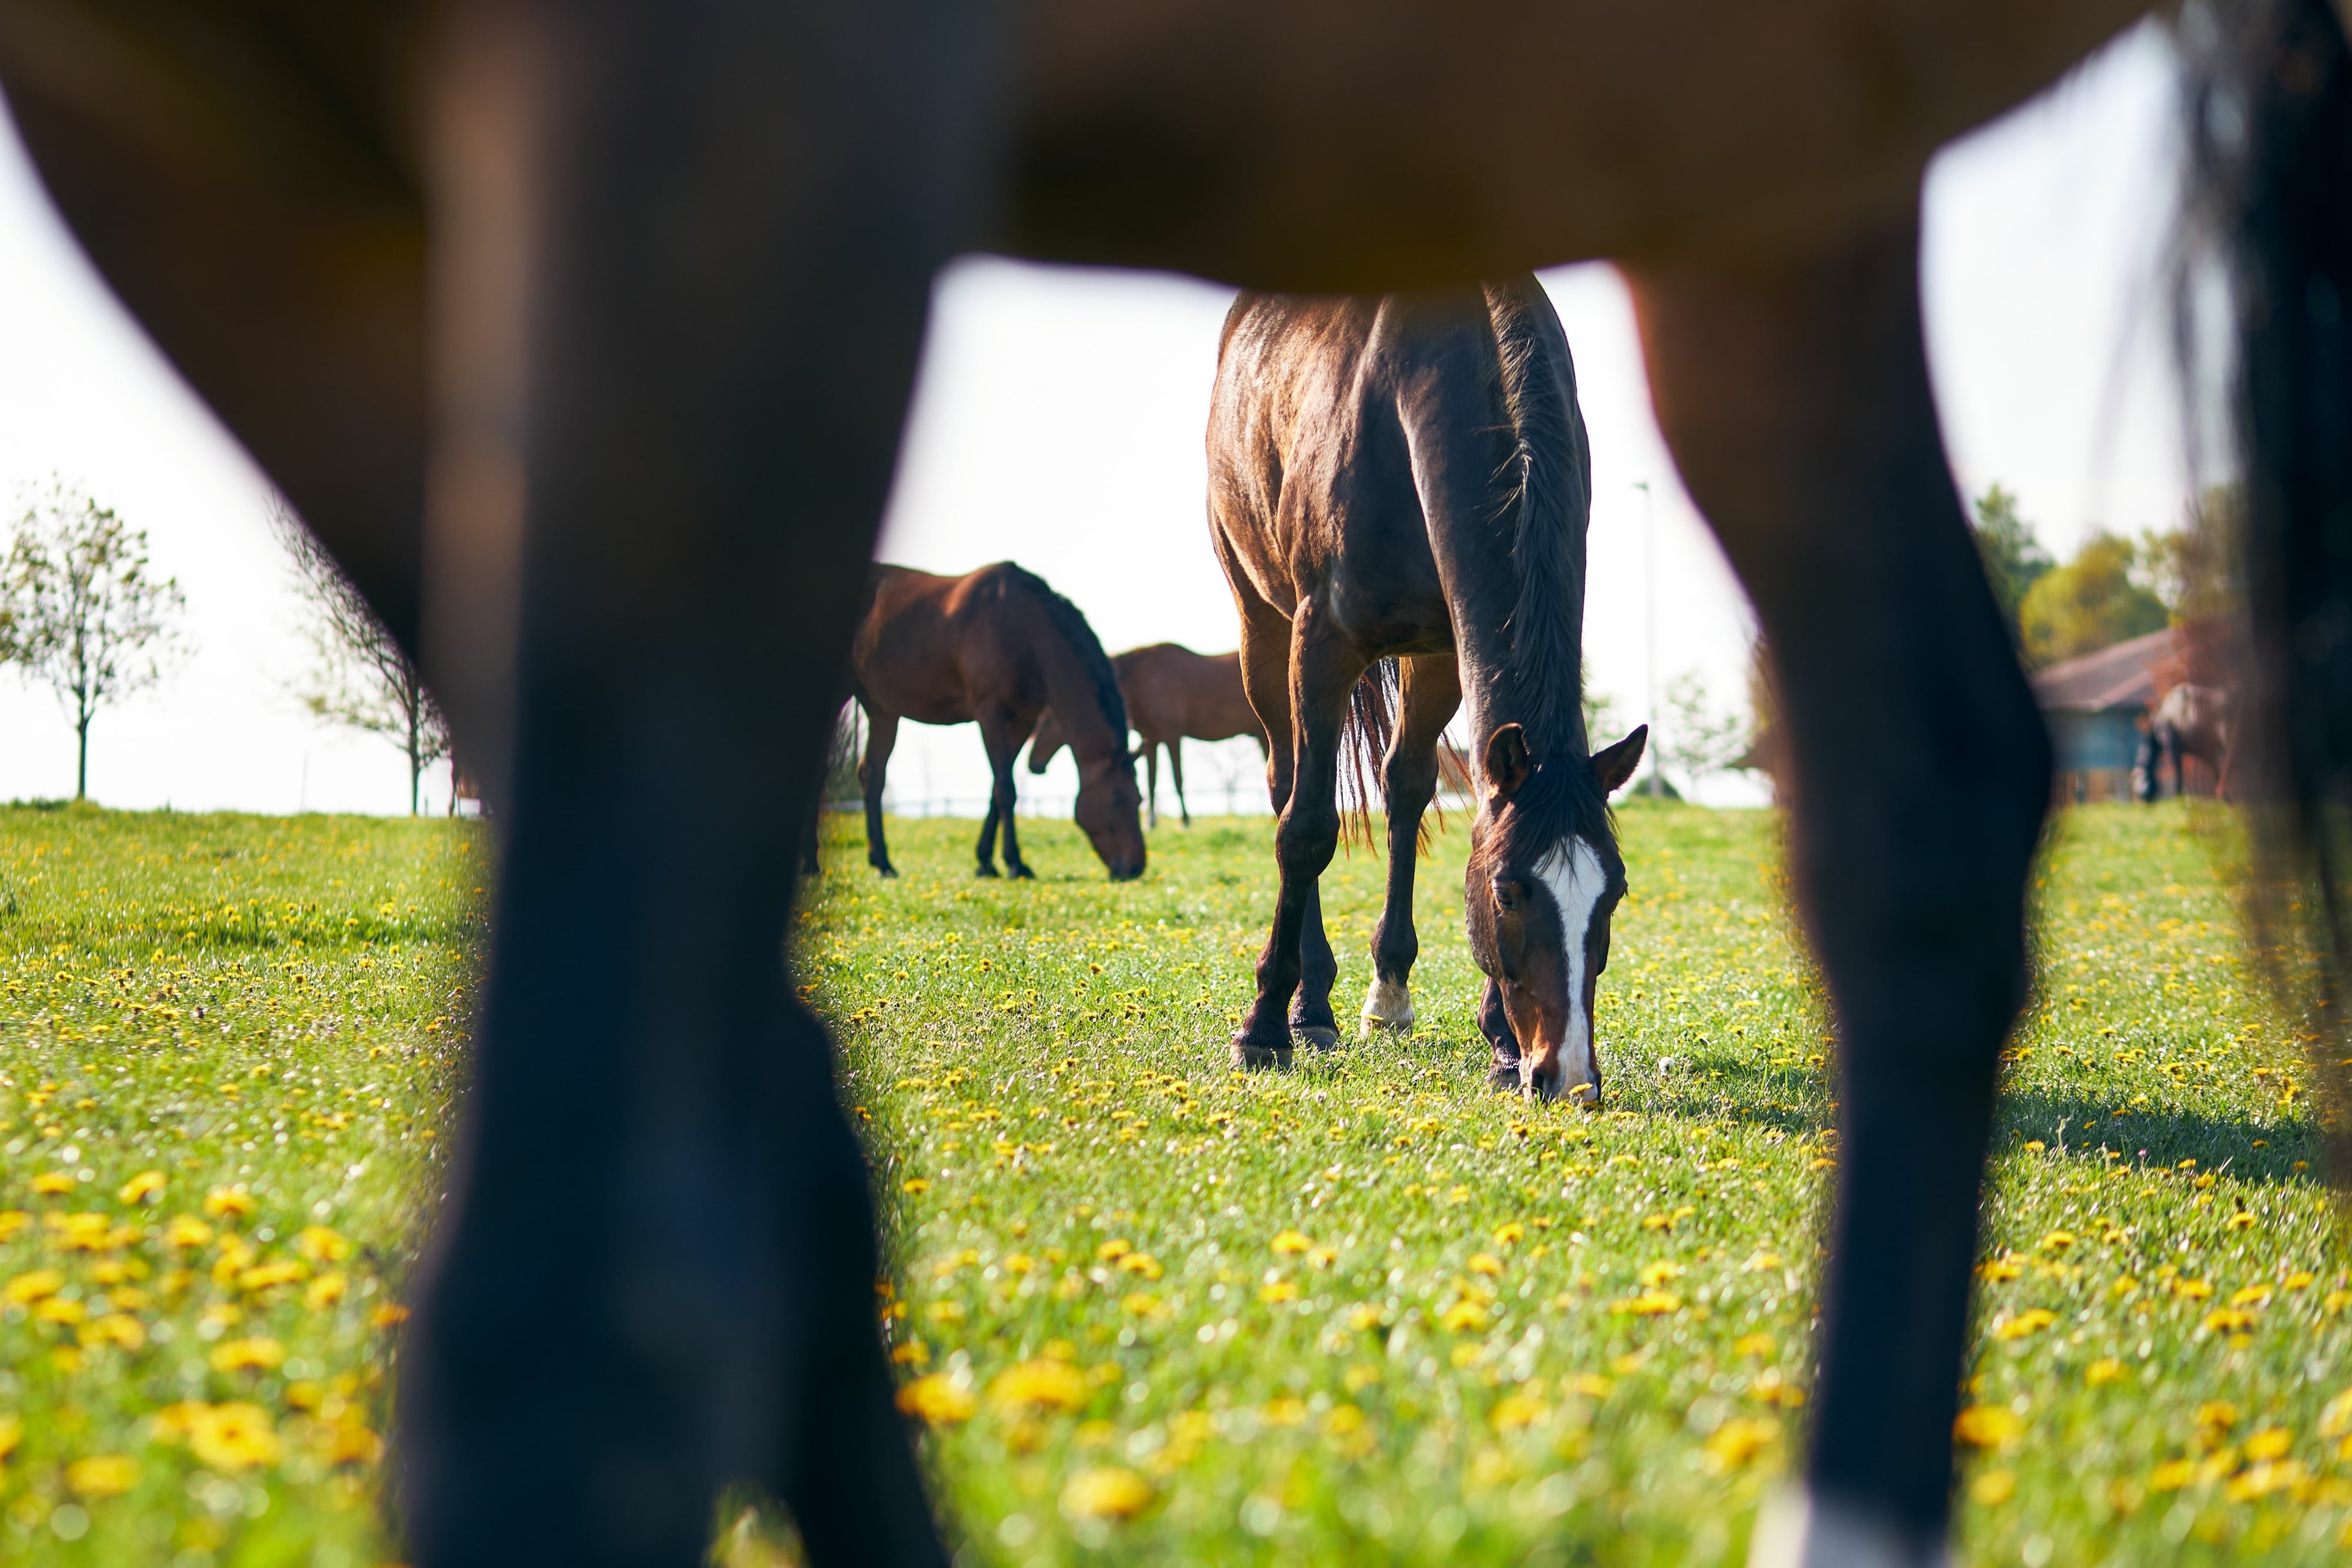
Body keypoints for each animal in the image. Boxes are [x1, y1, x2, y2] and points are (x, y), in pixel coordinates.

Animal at [842, 564, 1143, 884]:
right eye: (1116, 800)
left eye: (1139, 799)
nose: (1136, 867)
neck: (1025, 632)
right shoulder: (990, 714)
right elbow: (1006, 790)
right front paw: (1015, 863)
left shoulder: (1023, 721)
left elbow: (996, 790)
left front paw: (986, 862)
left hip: (882, 711)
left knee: (872, 775)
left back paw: (882, 862)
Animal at [1021, 644, 1261, 827]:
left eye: (1047, 722)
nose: (1034, 765)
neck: (1139, 679)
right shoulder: (1151, 739)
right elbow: (1151, 781)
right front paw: (1151, 821)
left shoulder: (1172, 735)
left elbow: (1177, 779)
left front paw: (1184, 821)